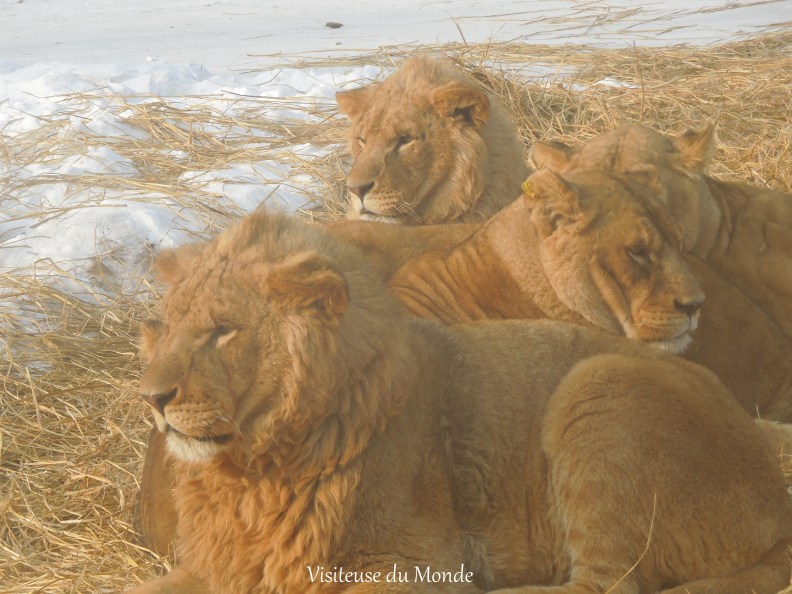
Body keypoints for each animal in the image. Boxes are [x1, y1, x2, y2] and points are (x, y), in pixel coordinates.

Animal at [127, 210, 791, 594]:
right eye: (167, 324)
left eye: (223, 331)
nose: (153, 397)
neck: (250, 470)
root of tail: (775, 502)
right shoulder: (215, 566)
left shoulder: (414, 563)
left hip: (599, 384)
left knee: (606, 586)